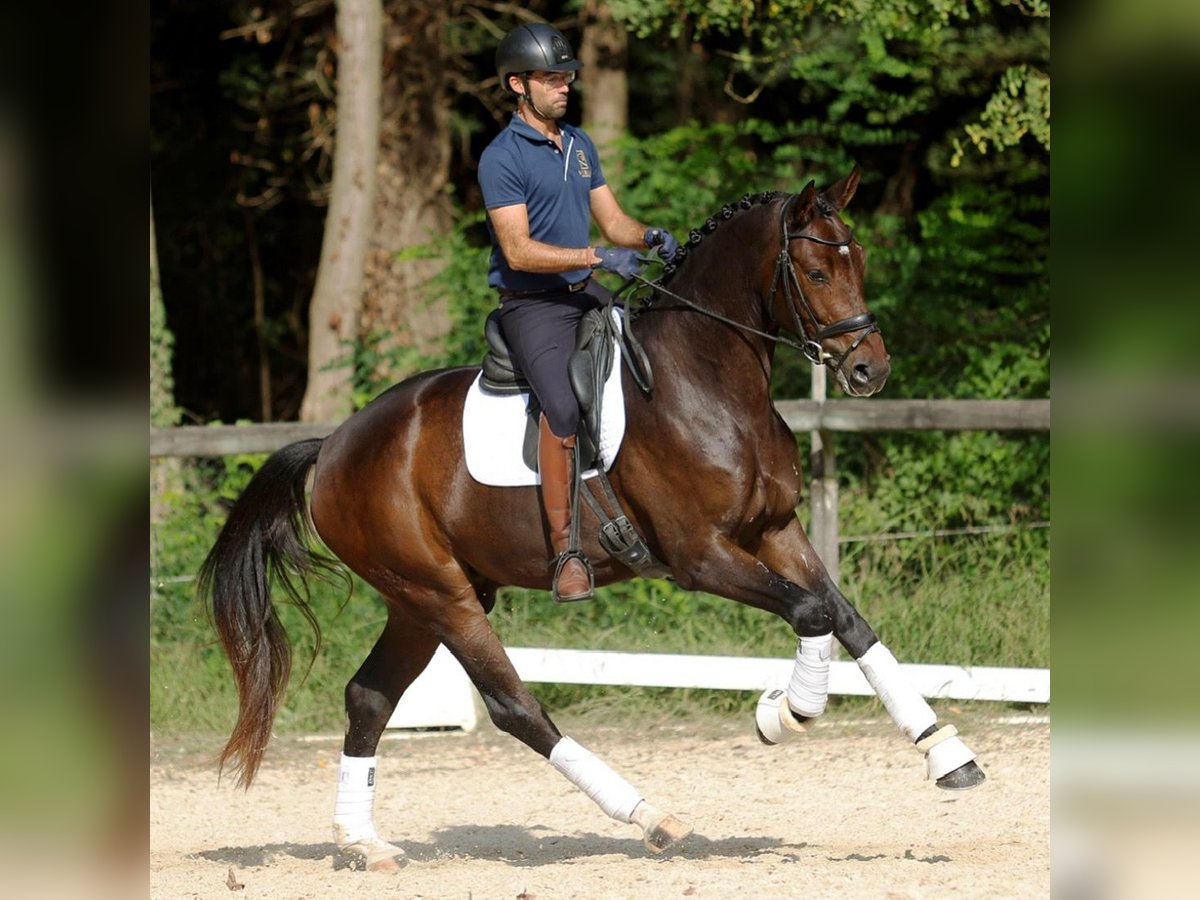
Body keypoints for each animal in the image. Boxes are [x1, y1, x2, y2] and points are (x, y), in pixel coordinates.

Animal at [199, 166, 985, 872]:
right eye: (817, 272)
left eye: (859, 261)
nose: (870, 371)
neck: (708, 379)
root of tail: (333, 446)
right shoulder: (701, 556)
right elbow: (811, 612)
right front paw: (782, 712)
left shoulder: (775, 530)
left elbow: (845, 618)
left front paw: (947, 754)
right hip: (438, 593)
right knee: (514, 707)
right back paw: (650, 816)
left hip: (420, 599)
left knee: (368, 698)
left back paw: (364, 844)